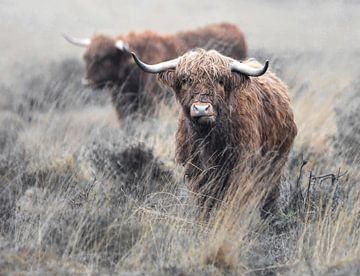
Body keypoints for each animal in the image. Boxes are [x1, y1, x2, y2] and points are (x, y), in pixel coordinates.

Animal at [132, 48, 298, 217]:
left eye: (220, 81)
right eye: (185, 80)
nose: (201, 108)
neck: (209, 138)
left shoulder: (241, 166)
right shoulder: (197, 170)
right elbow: (205, 202)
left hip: (275, 164)